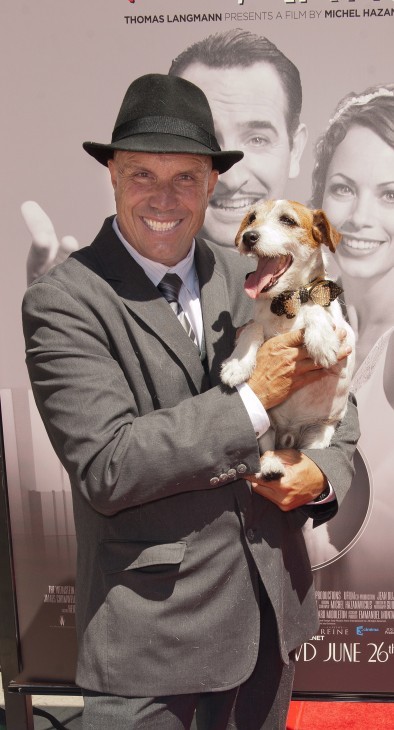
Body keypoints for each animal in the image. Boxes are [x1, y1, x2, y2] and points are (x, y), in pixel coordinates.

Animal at [220, 199, 356, 484]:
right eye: (252, 218)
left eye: (288, 220)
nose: (249, 237)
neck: (286, 302)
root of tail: (288, 435)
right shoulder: (253, 325)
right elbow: (254, 327)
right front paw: (237, 364)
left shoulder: (347, 340)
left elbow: (315, 307)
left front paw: (321, 340)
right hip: (266, 427)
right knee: (267, 449)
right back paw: (271, 465)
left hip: (320, 433)